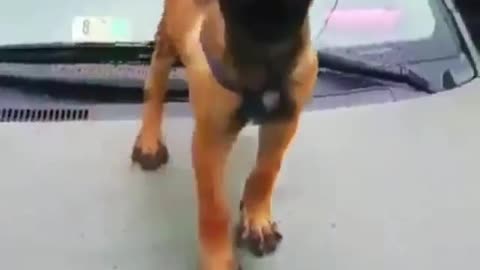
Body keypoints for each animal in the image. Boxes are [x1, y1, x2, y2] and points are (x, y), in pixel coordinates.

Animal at [131, 0, 318, 268]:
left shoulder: (283, 123)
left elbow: (265, 173)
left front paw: (257, 221)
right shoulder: (210, 139)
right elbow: (215, 208)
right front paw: (218, 260)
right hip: (171, 31)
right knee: (156, 77)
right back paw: (149, 140)